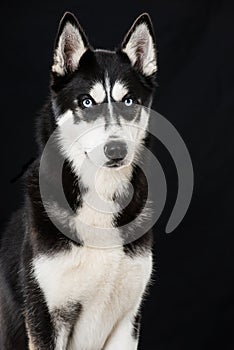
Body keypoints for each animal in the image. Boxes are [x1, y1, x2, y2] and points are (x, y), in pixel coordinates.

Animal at [0, 11, 157, 350]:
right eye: (86, 102)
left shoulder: (127, 319)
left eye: (128, 101)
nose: (116, 150)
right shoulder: (46, 317)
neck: (100, 194)